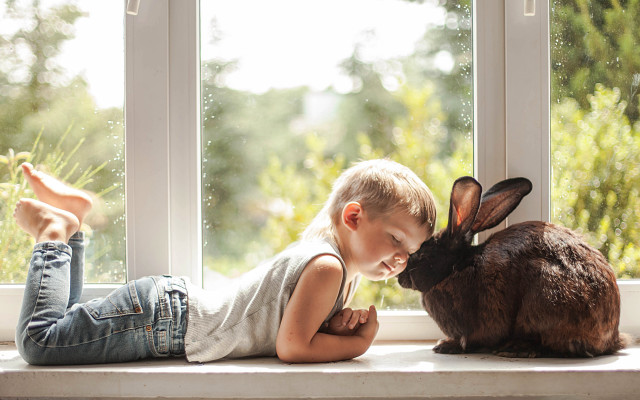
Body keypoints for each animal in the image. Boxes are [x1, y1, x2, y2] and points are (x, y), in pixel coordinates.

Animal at [397, 176, 629, 358]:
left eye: (421, 254)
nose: (400, 278)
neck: (456, 267)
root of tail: (611, 339)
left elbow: (468, 339)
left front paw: (446, 345)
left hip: (545, 297)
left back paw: (514, 348)